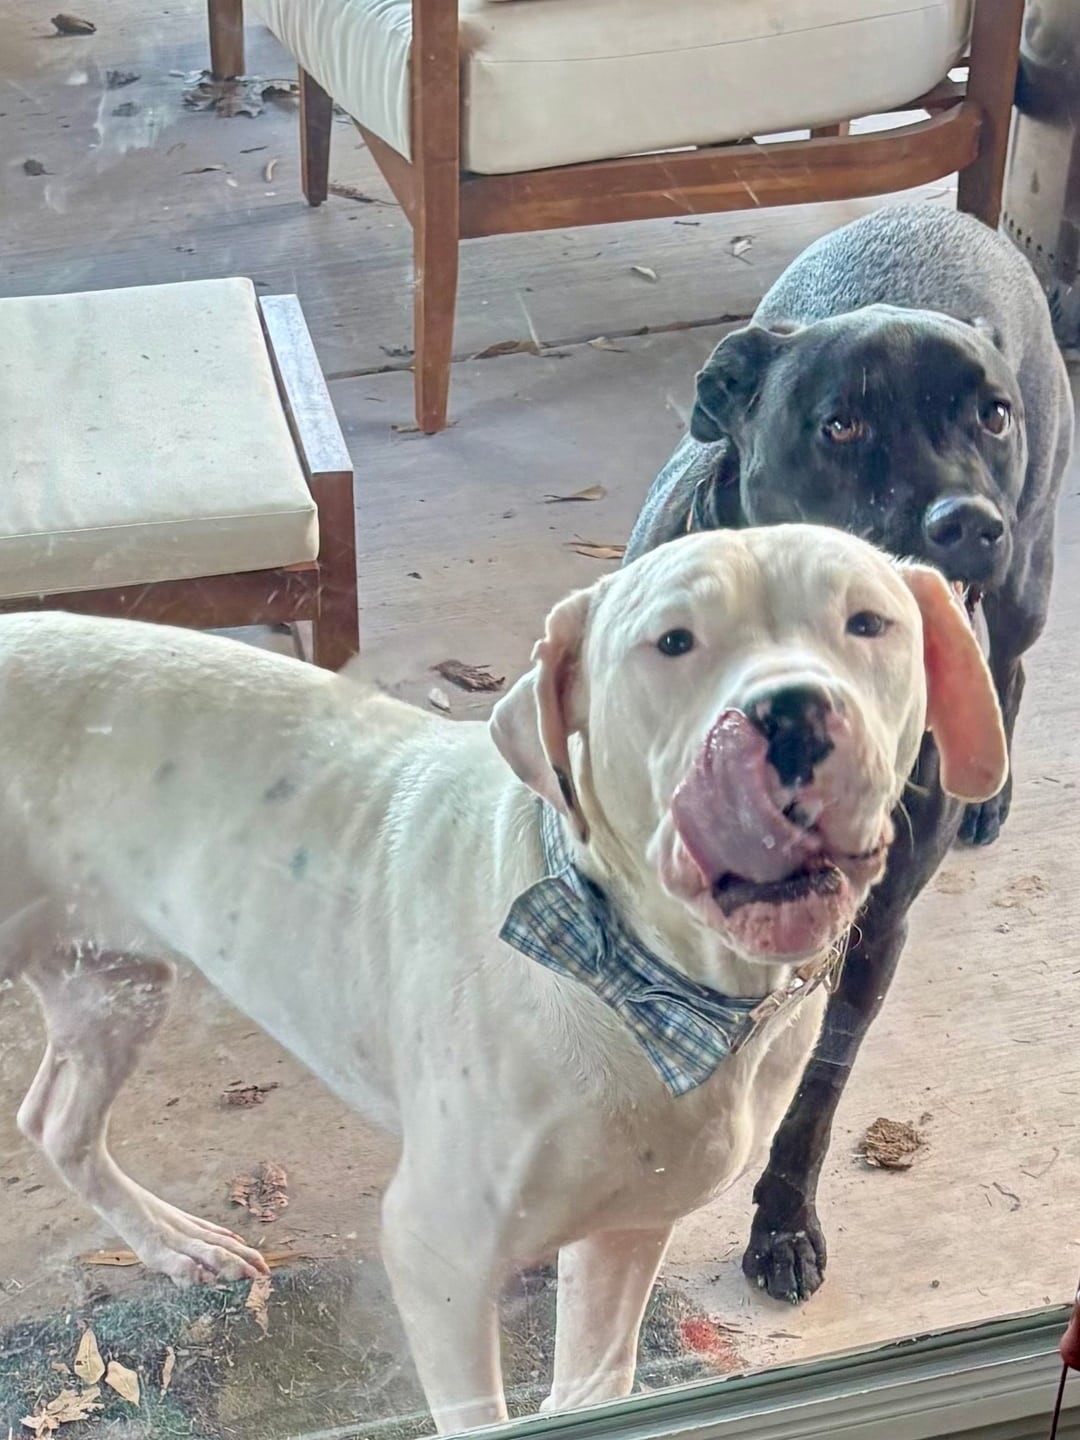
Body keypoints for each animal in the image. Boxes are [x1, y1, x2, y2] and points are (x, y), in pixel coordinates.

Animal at [2, 528, 1004, 1430]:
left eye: (868, 623)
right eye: (673, 641)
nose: (792, 713)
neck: (657, 993)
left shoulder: (625, 1232)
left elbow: (591, 1385)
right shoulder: (435, 1256)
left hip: (113, 980)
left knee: (56, 1120)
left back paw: (175, 1246)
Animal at [626, 203, 1074, 1304]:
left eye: (990, 415)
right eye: (840, 424)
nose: (967, 523)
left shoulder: (876, 932)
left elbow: (819, 1095)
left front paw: (783, 1223)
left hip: (1033, 576)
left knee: (1011, 666)